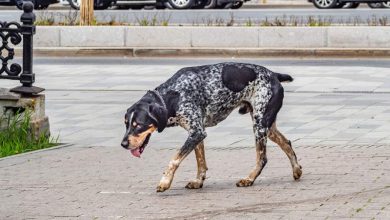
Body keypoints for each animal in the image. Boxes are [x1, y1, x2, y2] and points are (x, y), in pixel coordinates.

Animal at [120, 62, 304, 192]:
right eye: (127, 123)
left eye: (138, 125)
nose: (123, 144)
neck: (173, 95)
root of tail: (274, 75)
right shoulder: (197, 133)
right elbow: (200, 161)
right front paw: (198, 180)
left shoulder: (196, 132)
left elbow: (174, 159)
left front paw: (165, 181)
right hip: (267, 126)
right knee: (287, 143)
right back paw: (296, 170)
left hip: (259, 125)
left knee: (262, 158)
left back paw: (249, 179)